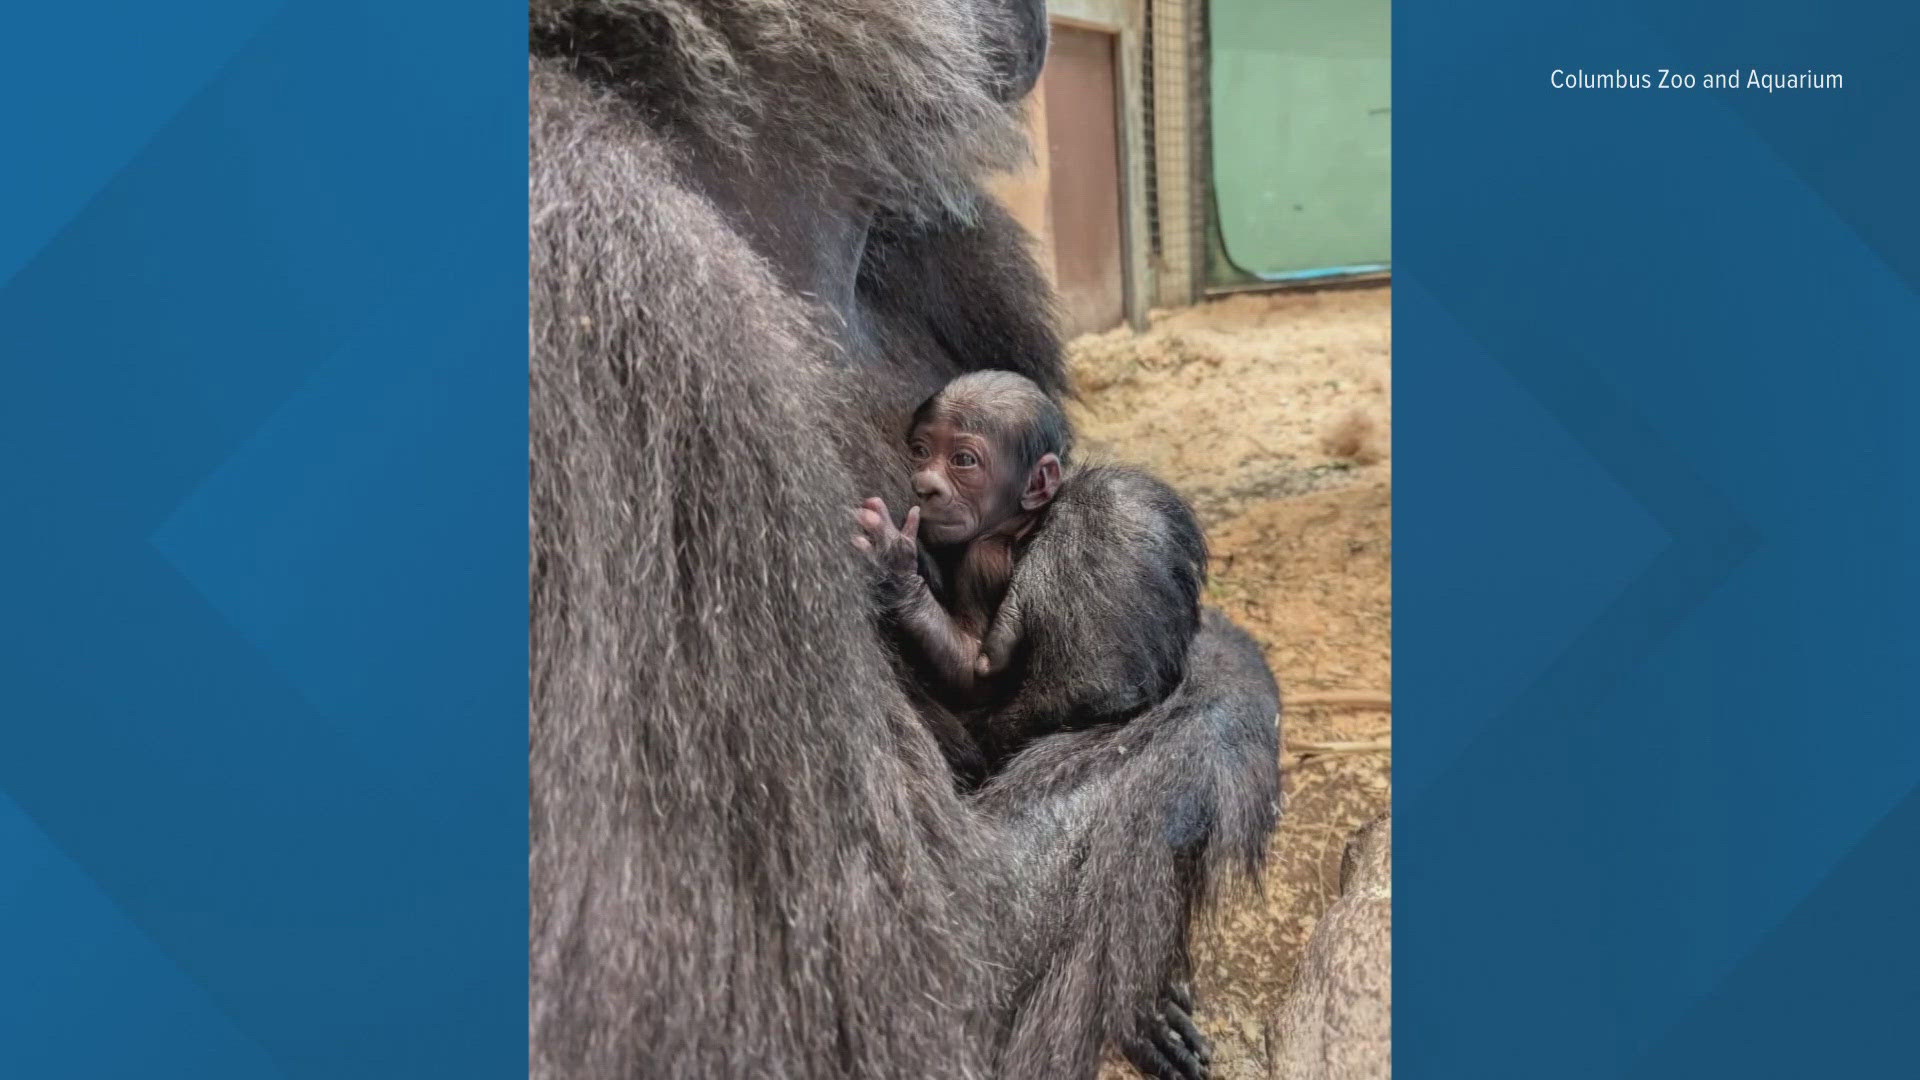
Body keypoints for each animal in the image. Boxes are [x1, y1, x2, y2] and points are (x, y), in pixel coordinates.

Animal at [852, 368, 1198, 772]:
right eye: (921, 451)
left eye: (963, 460)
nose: (926, 486)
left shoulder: (981, 561)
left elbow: (974, 671)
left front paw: (895, 568)